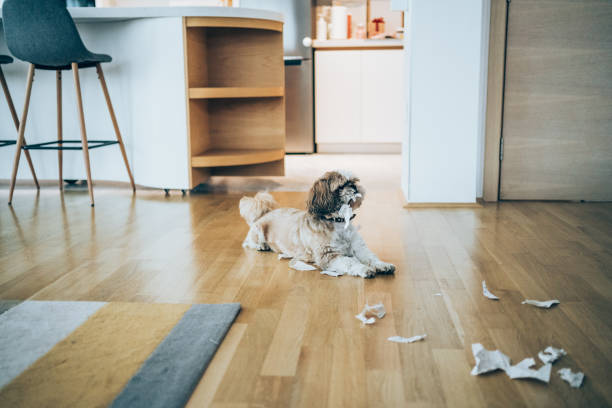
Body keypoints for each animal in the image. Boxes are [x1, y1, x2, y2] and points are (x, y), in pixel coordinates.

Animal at [239, 169, 396, 278]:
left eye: (353, 181)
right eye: (341, 186)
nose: (354, 186)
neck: (338, 223)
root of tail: (265, 213)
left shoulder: (359, 248)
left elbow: (371, 257)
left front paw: (382, 265)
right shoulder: (328, 255)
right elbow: (350, 262)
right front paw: (364, 269)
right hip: (258, 231)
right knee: (248, 243)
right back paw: (261, 246)